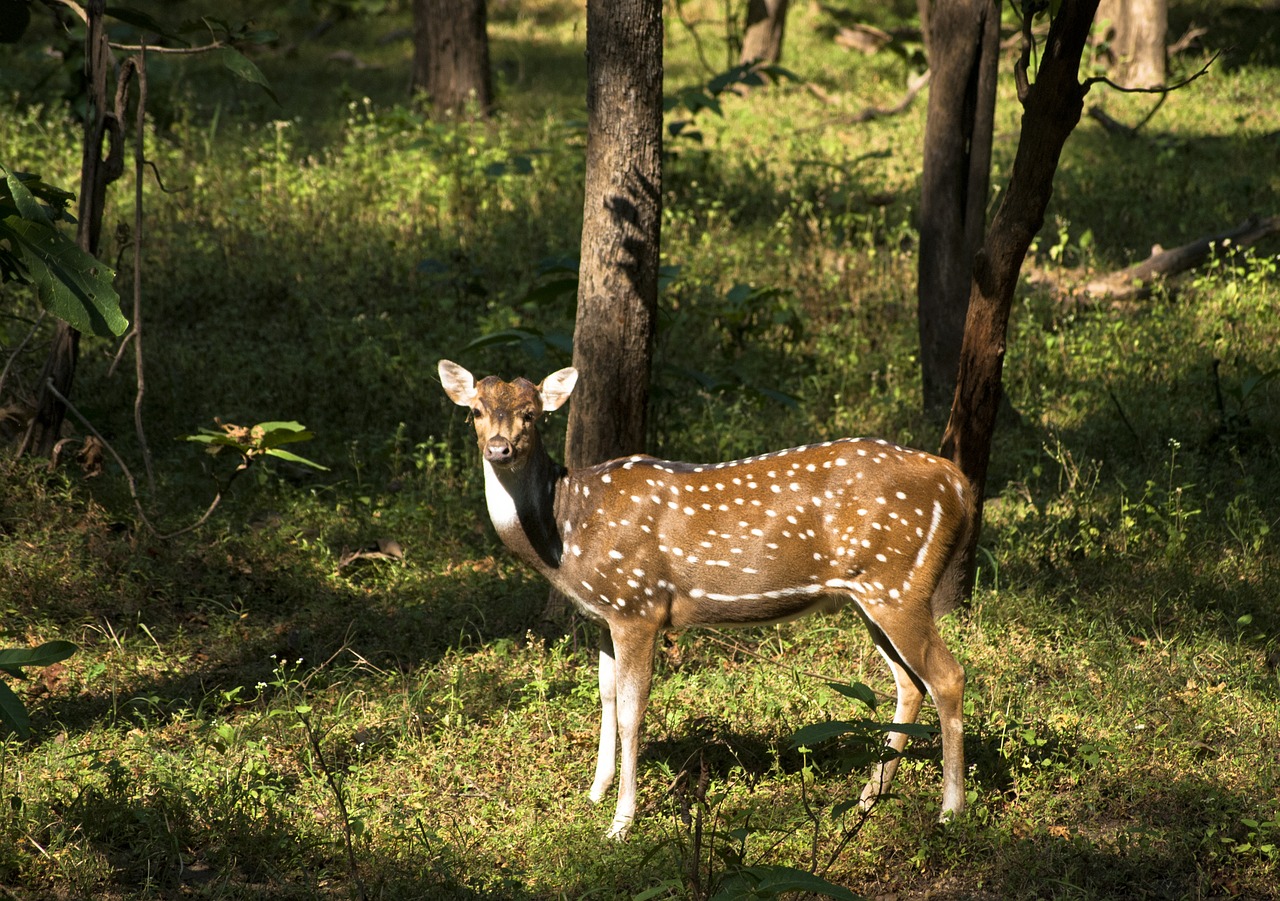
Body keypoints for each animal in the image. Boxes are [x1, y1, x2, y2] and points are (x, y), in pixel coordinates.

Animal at [440, 358, 977, 839]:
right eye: (475, 411)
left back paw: (950, 812)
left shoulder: (639, 605)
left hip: (898, 584)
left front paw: (620, 823)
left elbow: (633, 711)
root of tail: (959, 483)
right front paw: (594, 793)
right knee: (910, 684)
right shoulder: (603, 615)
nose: (500, 448)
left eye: (532, 413)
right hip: (870, 594)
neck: (566, 532)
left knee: (947, 676)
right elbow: (606, 697)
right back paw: (867, 800)